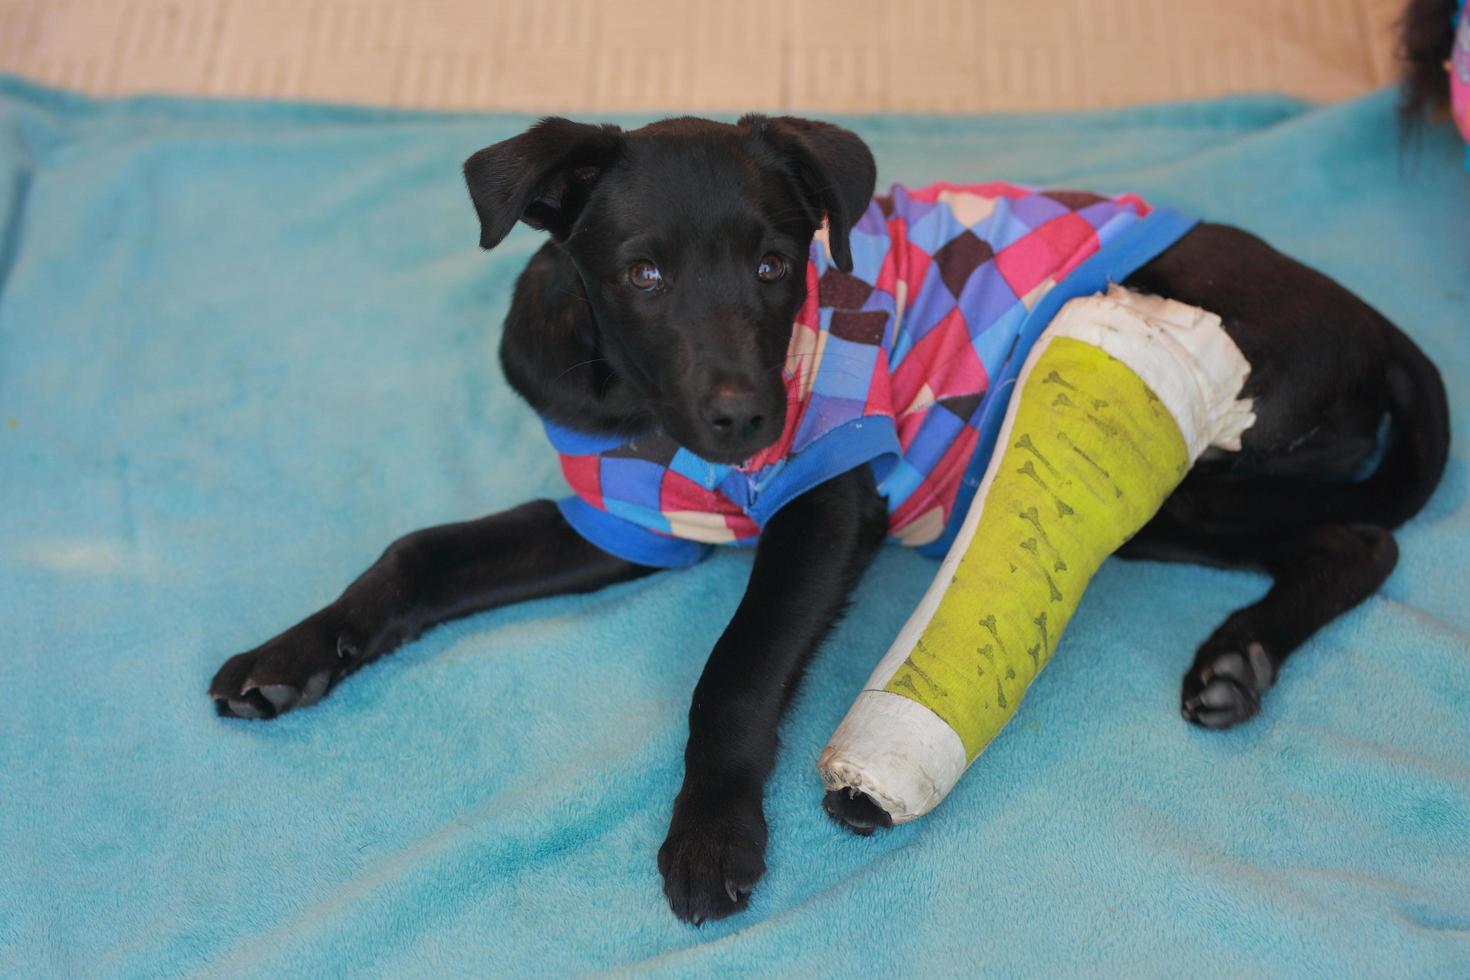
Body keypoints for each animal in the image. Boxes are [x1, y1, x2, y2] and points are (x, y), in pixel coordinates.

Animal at [207, 115, 1446, 928]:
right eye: (643, 272)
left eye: (773, 263)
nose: (747, 417)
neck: (641, 410)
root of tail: (1374, 319)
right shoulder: (619, 519)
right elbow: (420, 552)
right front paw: (292, 653)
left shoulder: (826, 503)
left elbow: (737, 667)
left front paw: (711, 829)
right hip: (1169, 505)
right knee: (1348, 538)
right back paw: (1240, 662)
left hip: (1188, 446)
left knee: (1364, 535)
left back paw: (1242, 654)